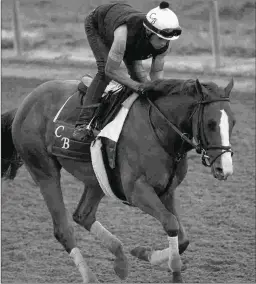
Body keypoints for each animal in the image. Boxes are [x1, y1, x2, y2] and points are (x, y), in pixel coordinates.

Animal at [1, 76, 235, 282]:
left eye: (232, 122)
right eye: (211, 123)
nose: (224, 169)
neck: (159, 129)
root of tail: (24, 105)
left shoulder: (167, 191)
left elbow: (182, 237)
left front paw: (144, 253)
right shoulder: (136, 191)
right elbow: (171, 223)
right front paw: (171, 271)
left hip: (96, 179)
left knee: (83, 215)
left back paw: (121, 261)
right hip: (44, 172)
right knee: (63, 229)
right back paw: (91, 278)